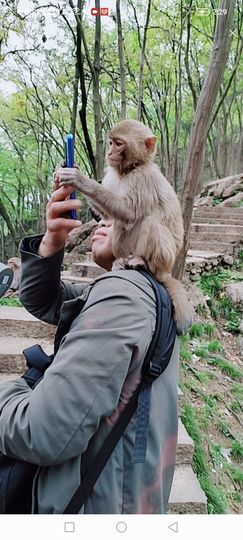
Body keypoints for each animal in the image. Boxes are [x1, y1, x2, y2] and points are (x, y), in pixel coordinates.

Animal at [58, 120, 196, 336]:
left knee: (147, 221)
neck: (128, 170)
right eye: (111, 142)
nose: (109, 152)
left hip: (166, 258)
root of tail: (165, 271)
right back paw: (119, 261)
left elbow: (128, 212)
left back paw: (143, 262)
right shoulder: (113, 175)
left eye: (119, 143)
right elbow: (108, 216)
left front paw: (79, 179)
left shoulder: (142, 178)